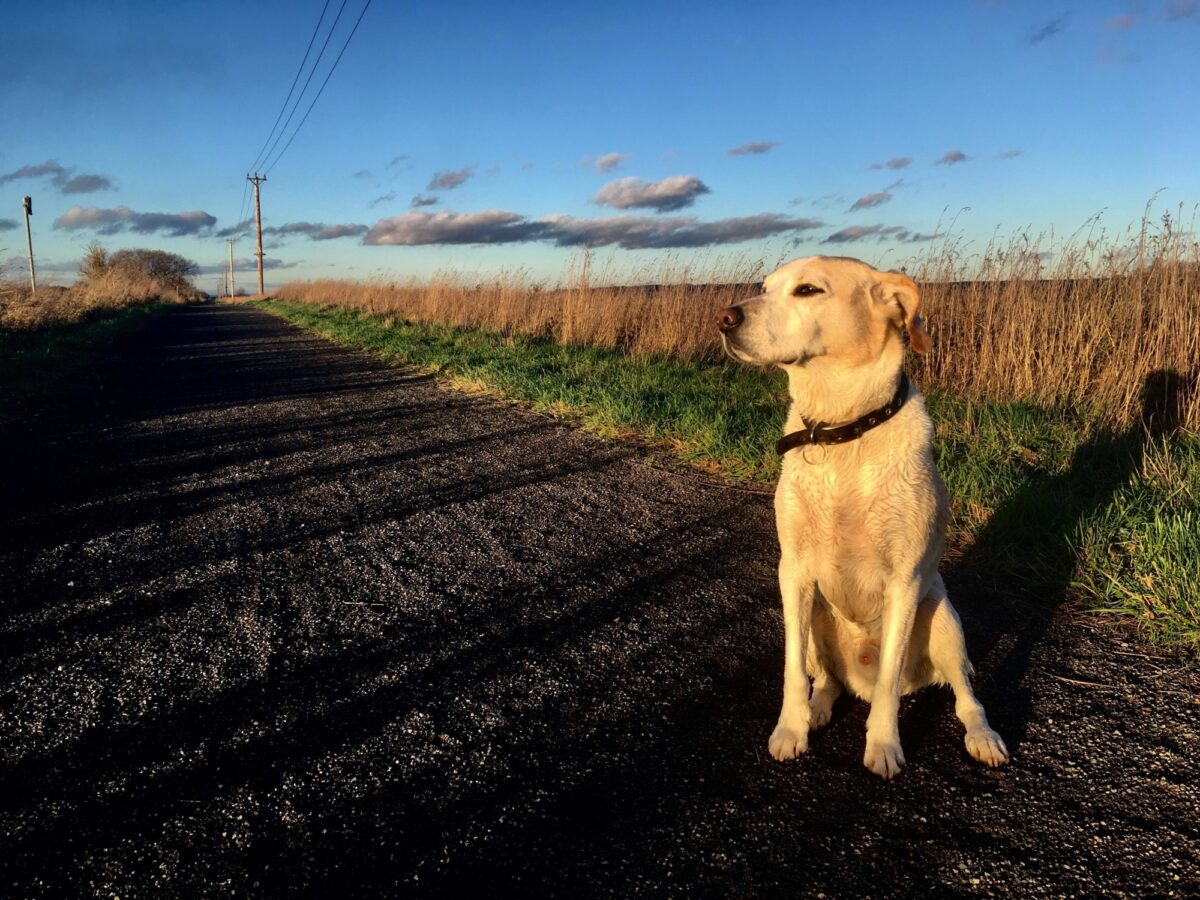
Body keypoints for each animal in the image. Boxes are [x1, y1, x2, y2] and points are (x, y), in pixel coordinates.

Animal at [715, 256, 1008, 777]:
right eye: (765, 287)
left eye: (808, 290)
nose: (724, 318)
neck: (841, 430)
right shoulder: (793, 571)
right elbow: (792, 671)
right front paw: (790, 730)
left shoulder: (906, 582)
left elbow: (890, 682)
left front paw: (884, 745)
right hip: (818, 618)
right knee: (828, 680)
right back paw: (816, 710)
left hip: (942, 618)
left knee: (963, 695)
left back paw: (983, 736)